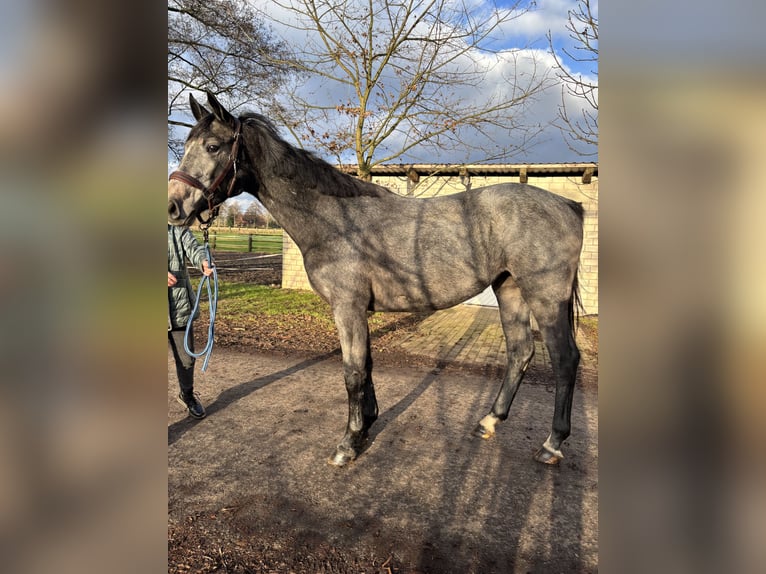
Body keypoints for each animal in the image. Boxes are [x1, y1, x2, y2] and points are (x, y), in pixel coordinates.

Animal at [168, 91, 584, 468]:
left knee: (565, 359)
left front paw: (348, 443)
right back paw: (489, 421)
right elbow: (365, 368)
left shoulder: (347, 307)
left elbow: (352, 372)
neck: (336, 223)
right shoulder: (357, 310)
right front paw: (366, 425)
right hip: (509, 289)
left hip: (545, 296)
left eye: (213, 146)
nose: (173, 206)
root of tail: (569, 205)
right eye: (186, 145)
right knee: (520, 353)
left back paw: (551, 444)